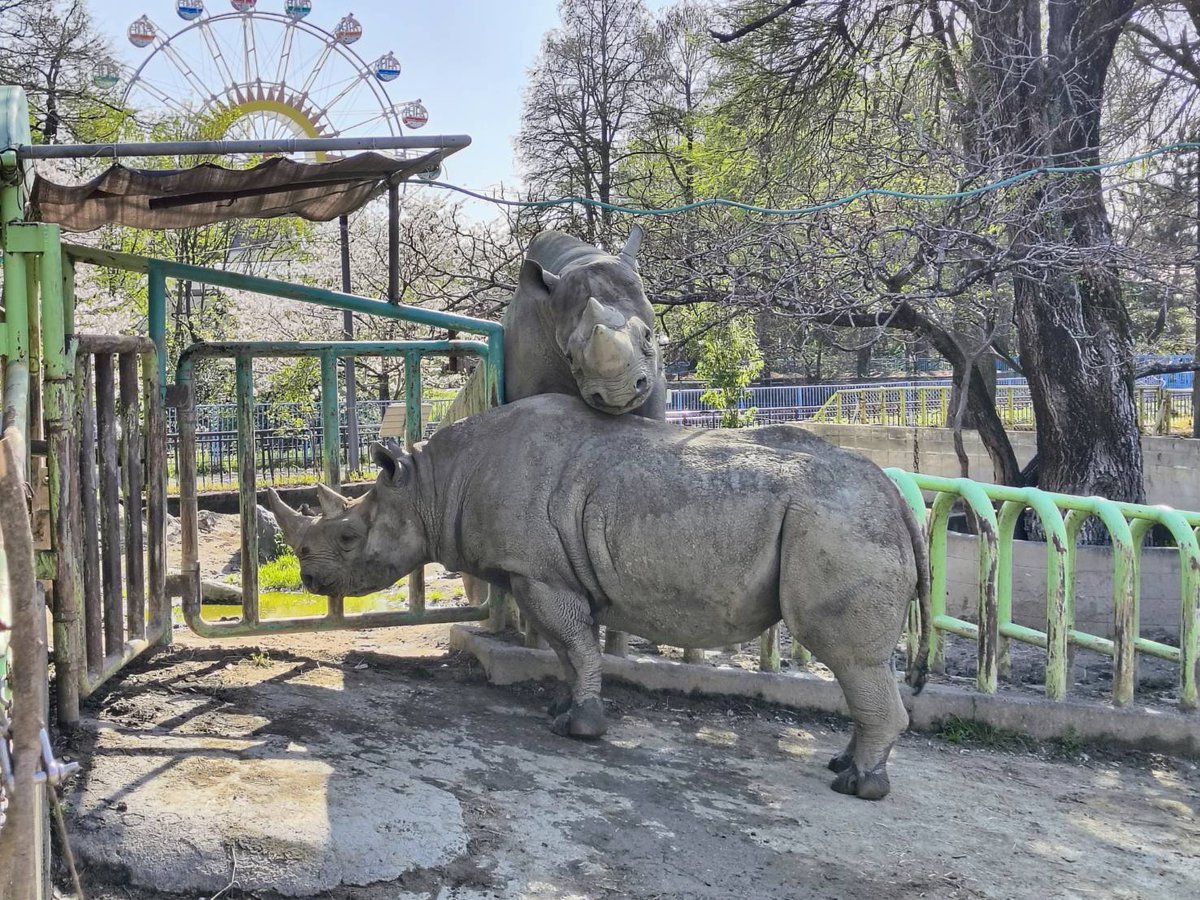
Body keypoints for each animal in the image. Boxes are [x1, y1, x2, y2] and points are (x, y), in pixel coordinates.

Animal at [269, 395, 931, 801]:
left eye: (348, 538)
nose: (308, 582)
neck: (433, 484)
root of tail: (900, 500)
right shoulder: (539, 573)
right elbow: (566, 648)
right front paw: (561, 709)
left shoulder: (541, 573)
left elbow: (576, 644)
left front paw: (582, 728)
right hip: (851, 520)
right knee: (861, 666)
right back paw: (845, 766)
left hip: (841, 523)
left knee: (847, 656)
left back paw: (858, 786)